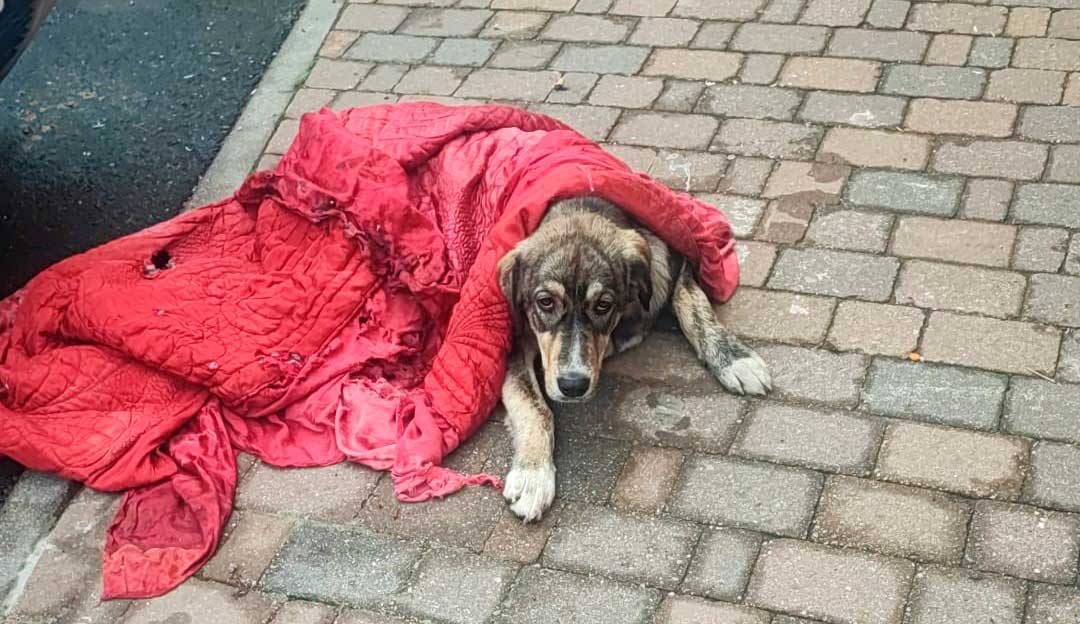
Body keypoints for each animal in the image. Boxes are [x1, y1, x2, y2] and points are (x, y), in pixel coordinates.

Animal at [494, 195, 773, 520]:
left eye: (603, 304)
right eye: (545, 302)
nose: (573, 386)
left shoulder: (673, 267)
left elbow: (694, 307)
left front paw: (733, 358)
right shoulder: (514, 344)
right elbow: (535, 407)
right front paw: (533, 475)